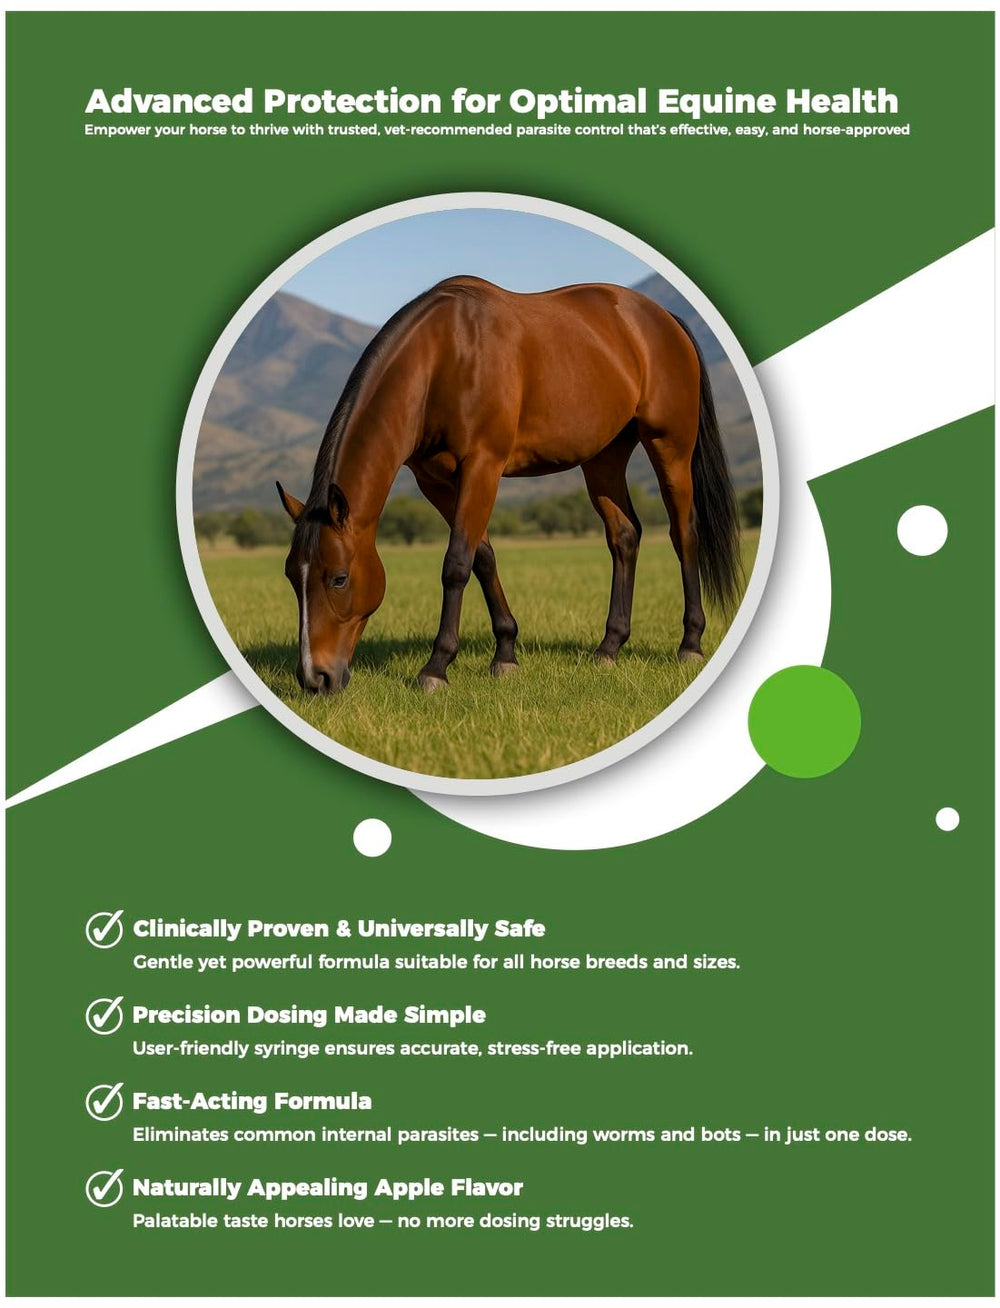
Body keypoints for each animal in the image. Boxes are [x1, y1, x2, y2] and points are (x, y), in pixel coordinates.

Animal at [276, 275, 742, 695]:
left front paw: (436, 667)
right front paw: (505, 653)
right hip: (604, 458)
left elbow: (456, 564)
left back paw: (690, 644)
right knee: (624, 535)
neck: (444, 358)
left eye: (338, 578)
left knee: (684, 534)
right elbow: (482, 557)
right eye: (291, 576)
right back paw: (609, 647)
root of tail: (663, 319)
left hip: (670, 447)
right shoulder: (435, 481)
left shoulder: (483, 466)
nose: (315, 678)